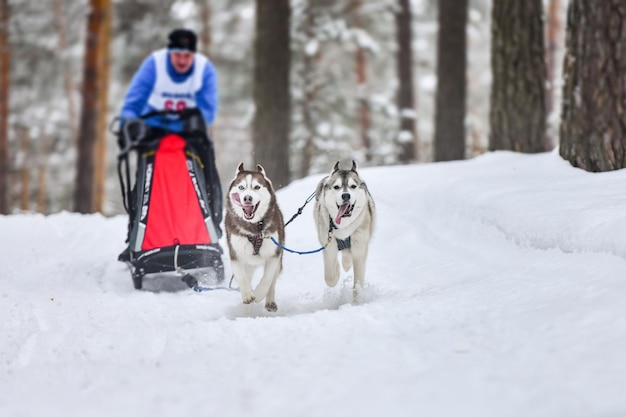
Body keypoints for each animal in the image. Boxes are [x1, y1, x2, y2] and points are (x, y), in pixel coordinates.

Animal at [223, 161, 284, 310]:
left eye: (257, 187)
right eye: (241, 187)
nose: (247, 198)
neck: (255, 228)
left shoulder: (274, 254)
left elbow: (267, 279)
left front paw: (259, 293)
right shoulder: (236, 254)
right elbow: (242, 277)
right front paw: (247, 295)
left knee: (272, 282)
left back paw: (270, 301)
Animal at [312, 159, 376, 290]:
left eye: (353, 186)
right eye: (336, 187)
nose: (346, 195)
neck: (344, 226)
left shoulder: (359, 246)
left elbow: (358, 282)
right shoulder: (329, 245)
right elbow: (330, 278)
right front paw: (336, 273)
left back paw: (346, 263)